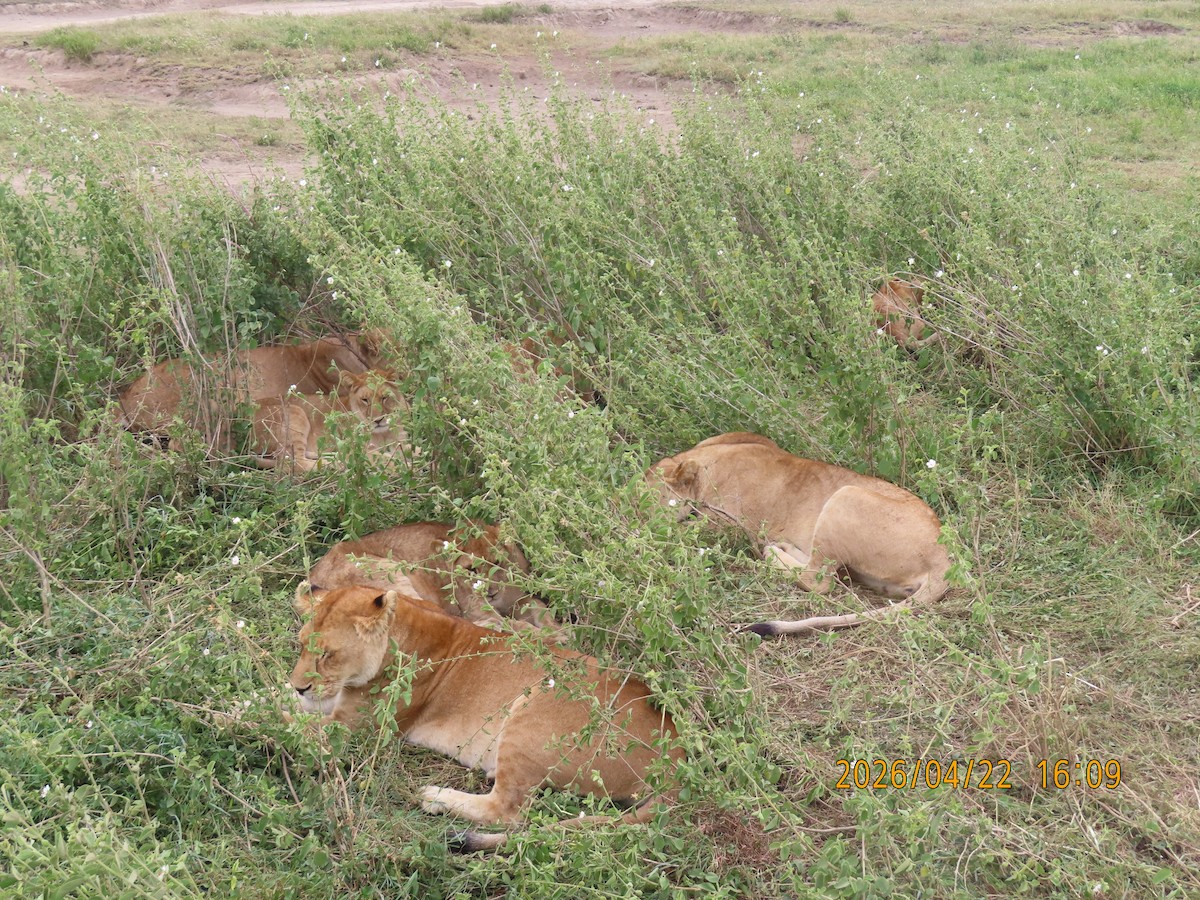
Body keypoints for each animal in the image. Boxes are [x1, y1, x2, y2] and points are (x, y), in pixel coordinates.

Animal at [249, 369, 406, 472]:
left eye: (385, 397)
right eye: (365, 400)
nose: (378, 420)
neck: (384, 433)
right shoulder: (359, 450)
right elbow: (385, 459)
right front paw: (405, 466)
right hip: (295, 412)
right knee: (290, 463)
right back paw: (337, 464)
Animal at [287, 583, 681, 851]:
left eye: (328, 654)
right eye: (302, 645)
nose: (300, 686)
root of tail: (678, 757)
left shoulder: (355, 729)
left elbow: (287, 722)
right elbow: (280, 702)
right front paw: (280, 693)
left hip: (530, 714)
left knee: (507, 811)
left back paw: (437, 797)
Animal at [309, 520, 560, 636]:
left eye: (496, 562)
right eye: (471, 570)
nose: (491, 593)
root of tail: (313, 572)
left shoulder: (520, 599)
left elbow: (540, 608)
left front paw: (556, 629)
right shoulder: (476, 610)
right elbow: (511, 622)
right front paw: (549, 635)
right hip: (392, 575)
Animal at [646, 433, 951, 636]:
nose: (632, 516)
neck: (704, 465)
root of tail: (945, 559)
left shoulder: (727, 523)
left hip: (845, 497)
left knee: (819, 580)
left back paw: (771, 551)